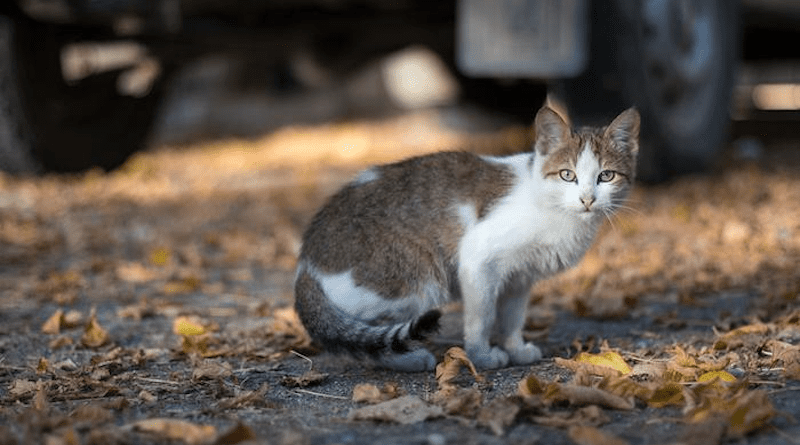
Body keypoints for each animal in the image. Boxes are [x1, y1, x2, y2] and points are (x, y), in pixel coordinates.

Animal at [292, 105, 636, 372]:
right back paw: (409, 359)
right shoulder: (477, 260)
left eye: (606, 176)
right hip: (418, 280)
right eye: (568, 175)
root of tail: (305, 263)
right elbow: (481, 318)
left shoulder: (521, 278)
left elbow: (512, 318)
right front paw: (482, 357)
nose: (587, 199)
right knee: (362, 333)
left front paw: (516, 349)